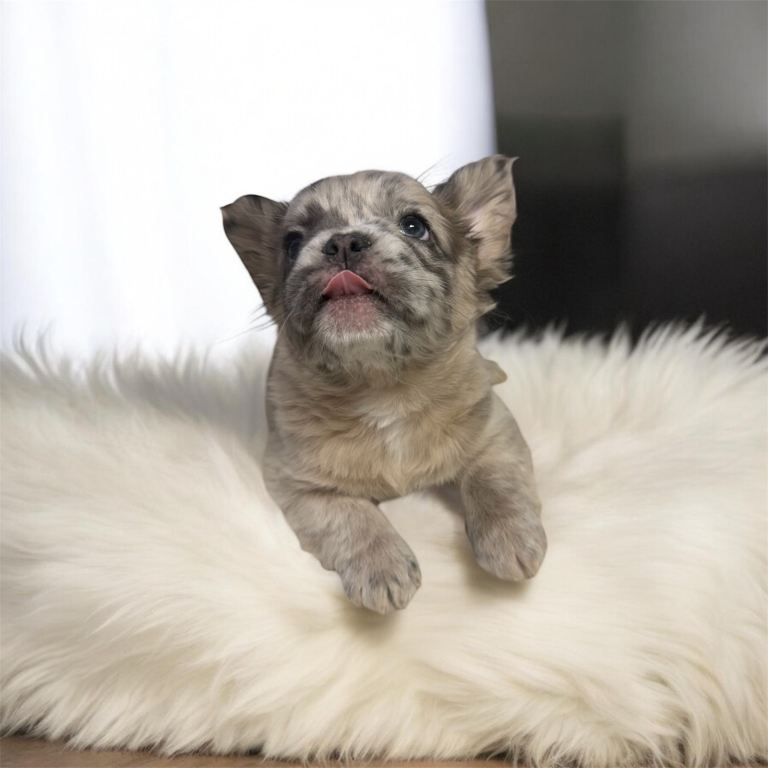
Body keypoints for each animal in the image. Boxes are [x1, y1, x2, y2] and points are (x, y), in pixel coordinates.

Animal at [221, 156, 546, 613]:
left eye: (414, 226)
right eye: (292, 243)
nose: (342, 243)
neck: (383, 385)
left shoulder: (496, 434)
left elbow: (496, 481)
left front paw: (511, 538)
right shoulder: (302, 486)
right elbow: (351, 517)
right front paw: (381, 568)